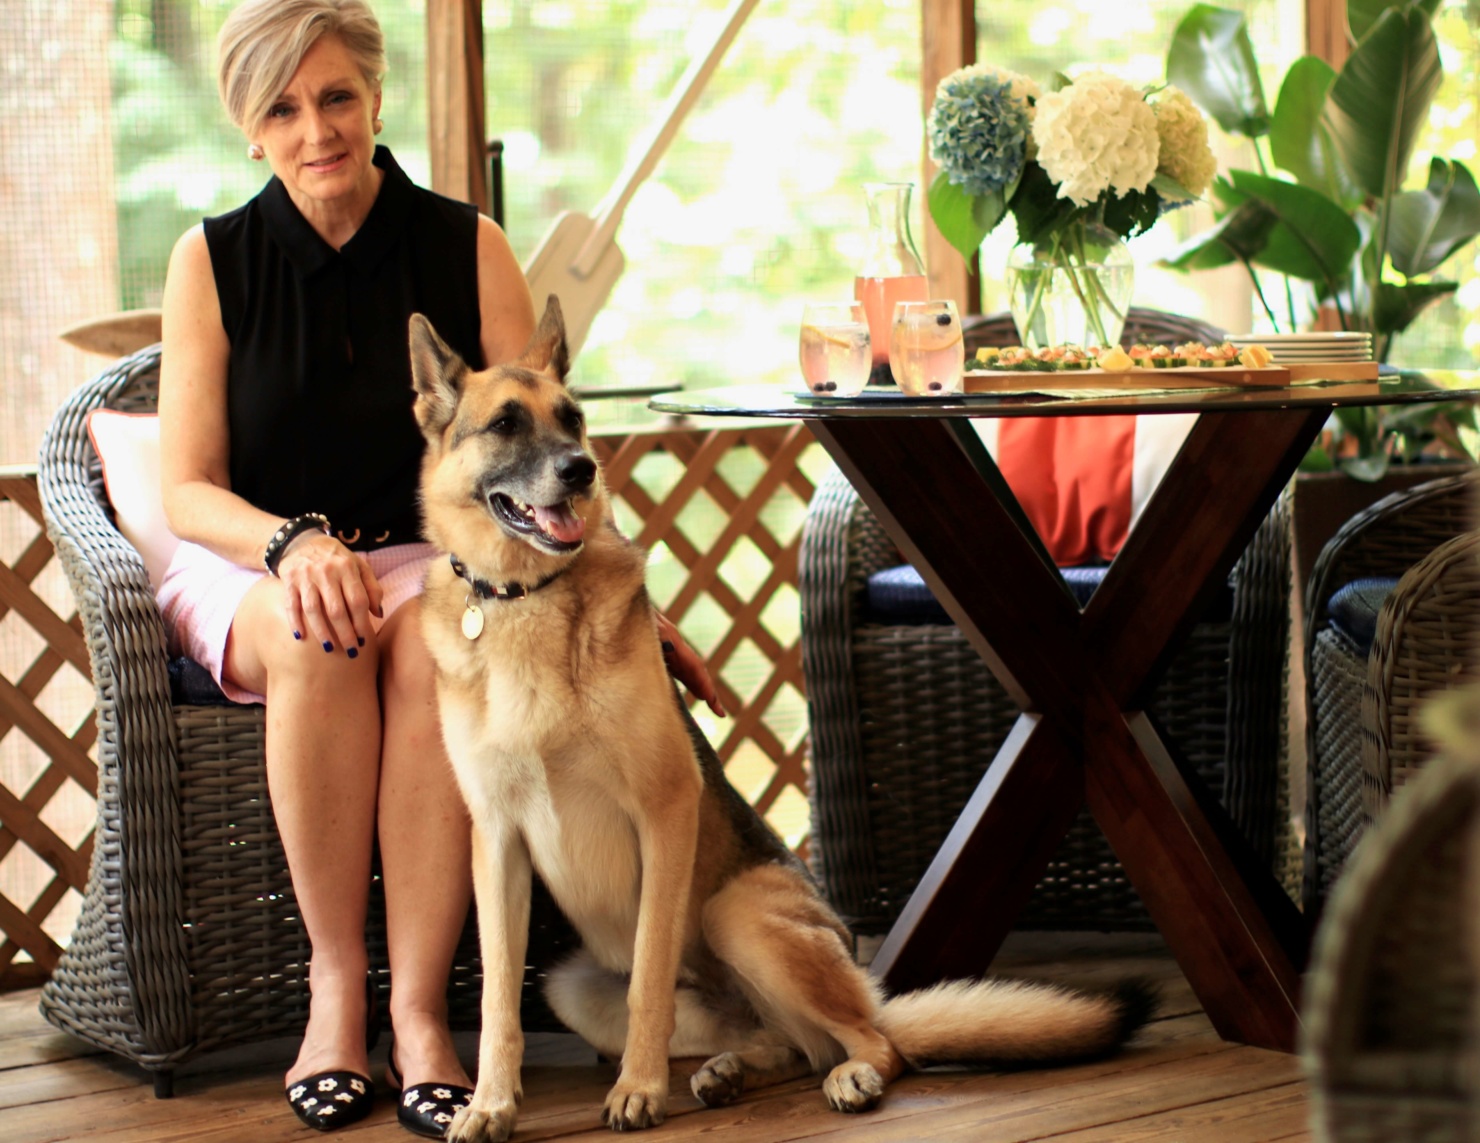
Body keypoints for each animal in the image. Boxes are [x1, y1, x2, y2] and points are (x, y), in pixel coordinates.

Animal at [408, 299, 1154, 1137]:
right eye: (505, 423)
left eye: (572, 419)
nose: (580, 469)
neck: (526, 601)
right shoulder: (497, 842)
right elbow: (499, 998)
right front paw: (490, 1102)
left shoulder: (664, 810)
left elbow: (649, 980)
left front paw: (637, 1087)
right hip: (573, 986)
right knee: (789, 1043)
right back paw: (731, 1070)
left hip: (735, 913)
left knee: (870, 1042)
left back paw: (850, 1072)